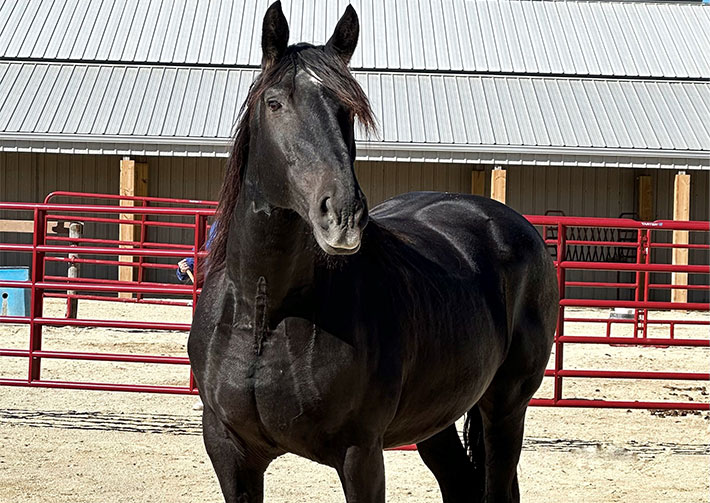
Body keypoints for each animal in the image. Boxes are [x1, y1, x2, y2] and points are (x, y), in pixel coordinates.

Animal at [188, 3, 558, 502]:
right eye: (274, 102)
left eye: (348, 109)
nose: (343, 214)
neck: (264, 313)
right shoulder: (228, 452)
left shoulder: (360, 455)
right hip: (437, 419)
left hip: (506, 408)